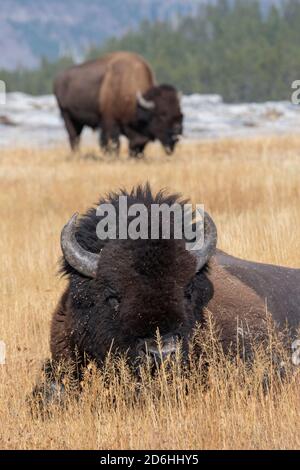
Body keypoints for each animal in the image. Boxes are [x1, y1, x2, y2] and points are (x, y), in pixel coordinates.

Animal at [53, 51, 183, 157]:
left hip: (78, 121)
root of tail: (58, 79)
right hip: (66, 115)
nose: (177, 131)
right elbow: (113, 143)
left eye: (181, 114)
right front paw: (112, 156)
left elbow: (138, 144)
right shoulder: (110, 122)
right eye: (162, 115)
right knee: (74, 137)